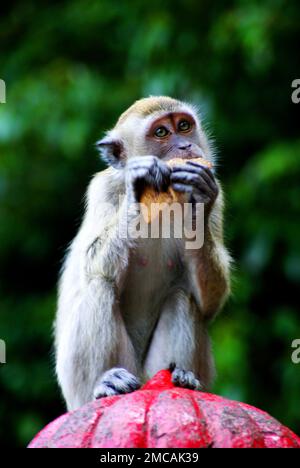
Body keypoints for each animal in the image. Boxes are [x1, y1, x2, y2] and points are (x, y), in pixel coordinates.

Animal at [55, 96, 231, 410]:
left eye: (183, 126)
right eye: (161, 132)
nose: (185, 146)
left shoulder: (218, 191)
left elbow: (211, 301)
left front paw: (197, 202)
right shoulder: (103, 189)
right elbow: (91, 262)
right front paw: (139, 188)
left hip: (151, 372)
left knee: (182, 297)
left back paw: (181, 378)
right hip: (80, 389)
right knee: (99, 285)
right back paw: (105, 384)